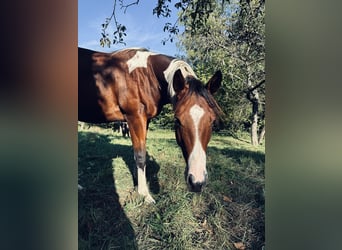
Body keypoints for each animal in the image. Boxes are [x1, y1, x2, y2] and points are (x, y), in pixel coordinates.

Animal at [78, 47, 222, 203]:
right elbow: (141, 155)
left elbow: (138, 153)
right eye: (177, 120)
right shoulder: (135, 117)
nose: (197, 182)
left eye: (213, 122)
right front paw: (144, 194)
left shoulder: (144, 120)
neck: (145, 75)